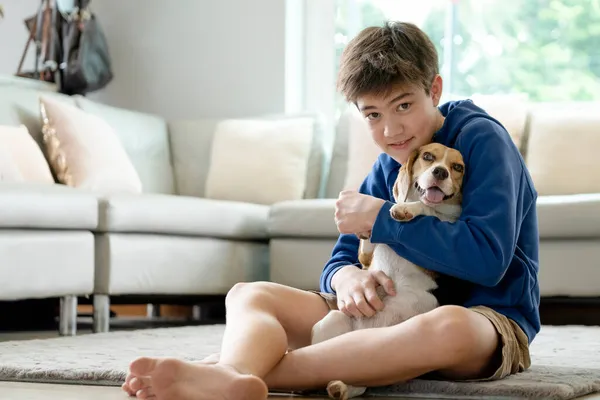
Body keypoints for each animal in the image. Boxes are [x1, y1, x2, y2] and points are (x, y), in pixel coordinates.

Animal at [312, 143, 466, 400]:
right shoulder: (366, 259)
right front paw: (367, 223)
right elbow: (367, 246)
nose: (440, 172)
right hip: (331, 321)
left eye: (457, 167)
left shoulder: (449, 226)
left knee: (362, 382)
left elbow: (428, 209)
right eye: (428, 156)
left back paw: (339, 387)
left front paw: (404, 209)